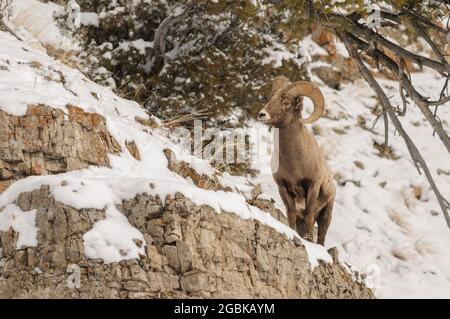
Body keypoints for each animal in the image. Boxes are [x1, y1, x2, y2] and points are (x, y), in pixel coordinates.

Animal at [256, 76, 334, 246]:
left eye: (286, 102)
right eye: (270, 98)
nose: (262, 114)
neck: (294, 163)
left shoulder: (312, 187)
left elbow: (309, 215)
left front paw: (309, 240)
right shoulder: (283, 188)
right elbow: (290, 215)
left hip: (326, 214)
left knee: (322, 236)